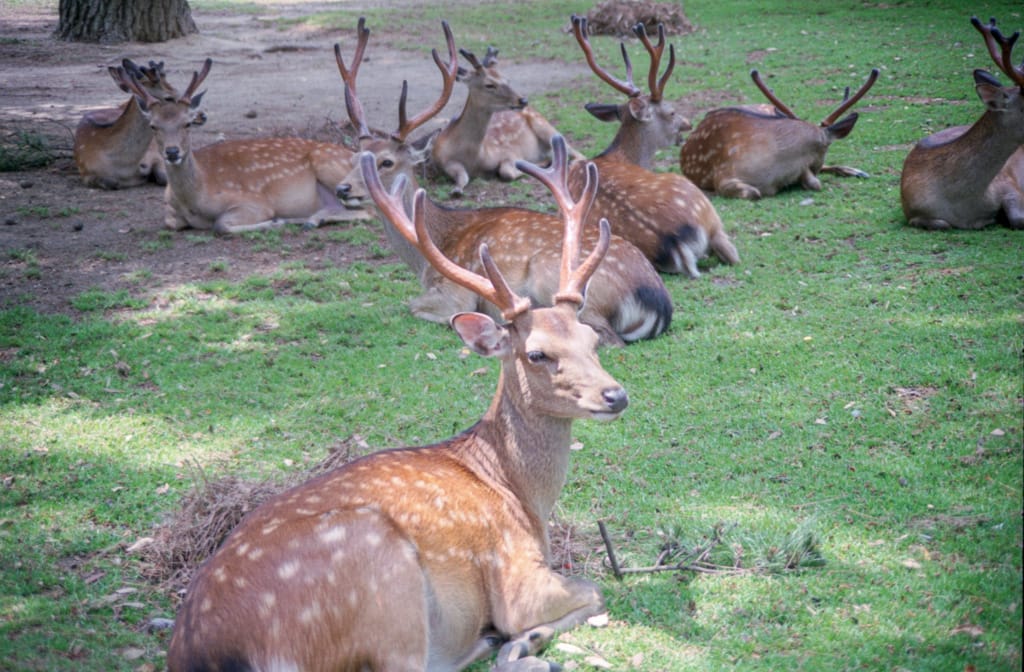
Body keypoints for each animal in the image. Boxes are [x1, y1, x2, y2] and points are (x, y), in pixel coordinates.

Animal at [73, 59, 180, 190]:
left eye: (175, 90)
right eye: (169, 98)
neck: (126, 166)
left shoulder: (155, 155)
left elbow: (163, 177)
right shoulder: (86, 173)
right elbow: (111, 182)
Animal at [113, 59, 373, 234]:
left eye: (187, 123)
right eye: (153, 126)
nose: (172, 152)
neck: (194, 200)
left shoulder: (255, 203)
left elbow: (220, 225)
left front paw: (276, 221)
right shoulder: (170, 214)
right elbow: (171, 223)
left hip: (332, 168)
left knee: (370, 208)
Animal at [165, 104, 630, 672]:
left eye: (591, 338)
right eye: (537, 353)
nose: (615, 395)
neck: (520, 495)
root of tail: (212, 654)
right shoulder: (517, 574)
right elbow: (595, 591)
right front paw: (521, 641)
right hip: (389, 587)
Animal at [430, 45, 584, 198]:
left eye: (507, 80)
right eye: (489, 84)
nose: (523, 100)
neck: (473, 157)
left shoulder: (510, 152)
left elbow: (506, 172)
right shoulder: (443, 162)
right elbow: (463, 176)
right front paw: (456, 190)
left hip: (546, 127)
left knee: (577, 153)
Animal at [569, 15, 739, 278]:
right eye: (671, 111)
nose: (688, 124)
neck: (621, 155)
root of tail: (675, 242)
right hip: (705, 209)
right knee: (733, 255)